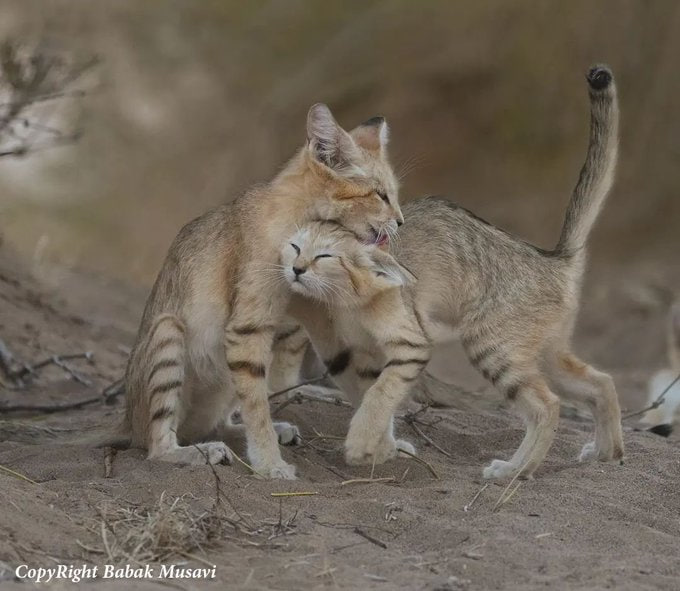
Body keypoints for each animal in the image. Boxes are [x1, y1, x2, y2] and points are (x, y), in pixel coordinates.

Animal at [117, 104, 404, 478]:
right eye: (380, 195)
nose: (400, 221)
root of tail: (125, 425)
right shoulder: (247, 328)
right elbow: (256, 407)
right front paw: (271, 466)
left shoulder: (313, 318)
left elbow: (361, 379)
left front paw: (388, 443)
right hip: (169, 330)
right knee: (157, 445)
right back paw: (198, 452)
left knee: (213, 423)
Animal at [274, 66, 620, 480]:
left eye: (390, 194)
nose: (398, 221)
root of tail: (555, 258)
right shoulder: (349, 353)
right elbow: (372, 397)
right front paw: (382, 447)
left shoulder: (407, 343)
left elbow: (381, 396)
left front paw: (363, 445)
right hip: (545, 355)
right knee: (601, 382)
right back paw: (607, 453)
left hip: (494, 349)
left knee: (546, 406)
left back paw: (514, 470)